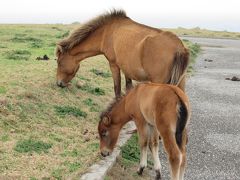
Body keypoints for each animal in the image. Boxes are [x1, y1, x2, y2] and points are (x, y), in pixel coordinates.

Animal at [56, 9, 189, 97]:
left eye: (59, 62)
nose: (59, 83)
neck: (106, 32)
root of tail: (179, 48)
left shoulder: (114, 65)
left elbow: (117, 90)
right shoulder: (127, 68)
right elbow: (128, 88)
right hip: (180, 83)